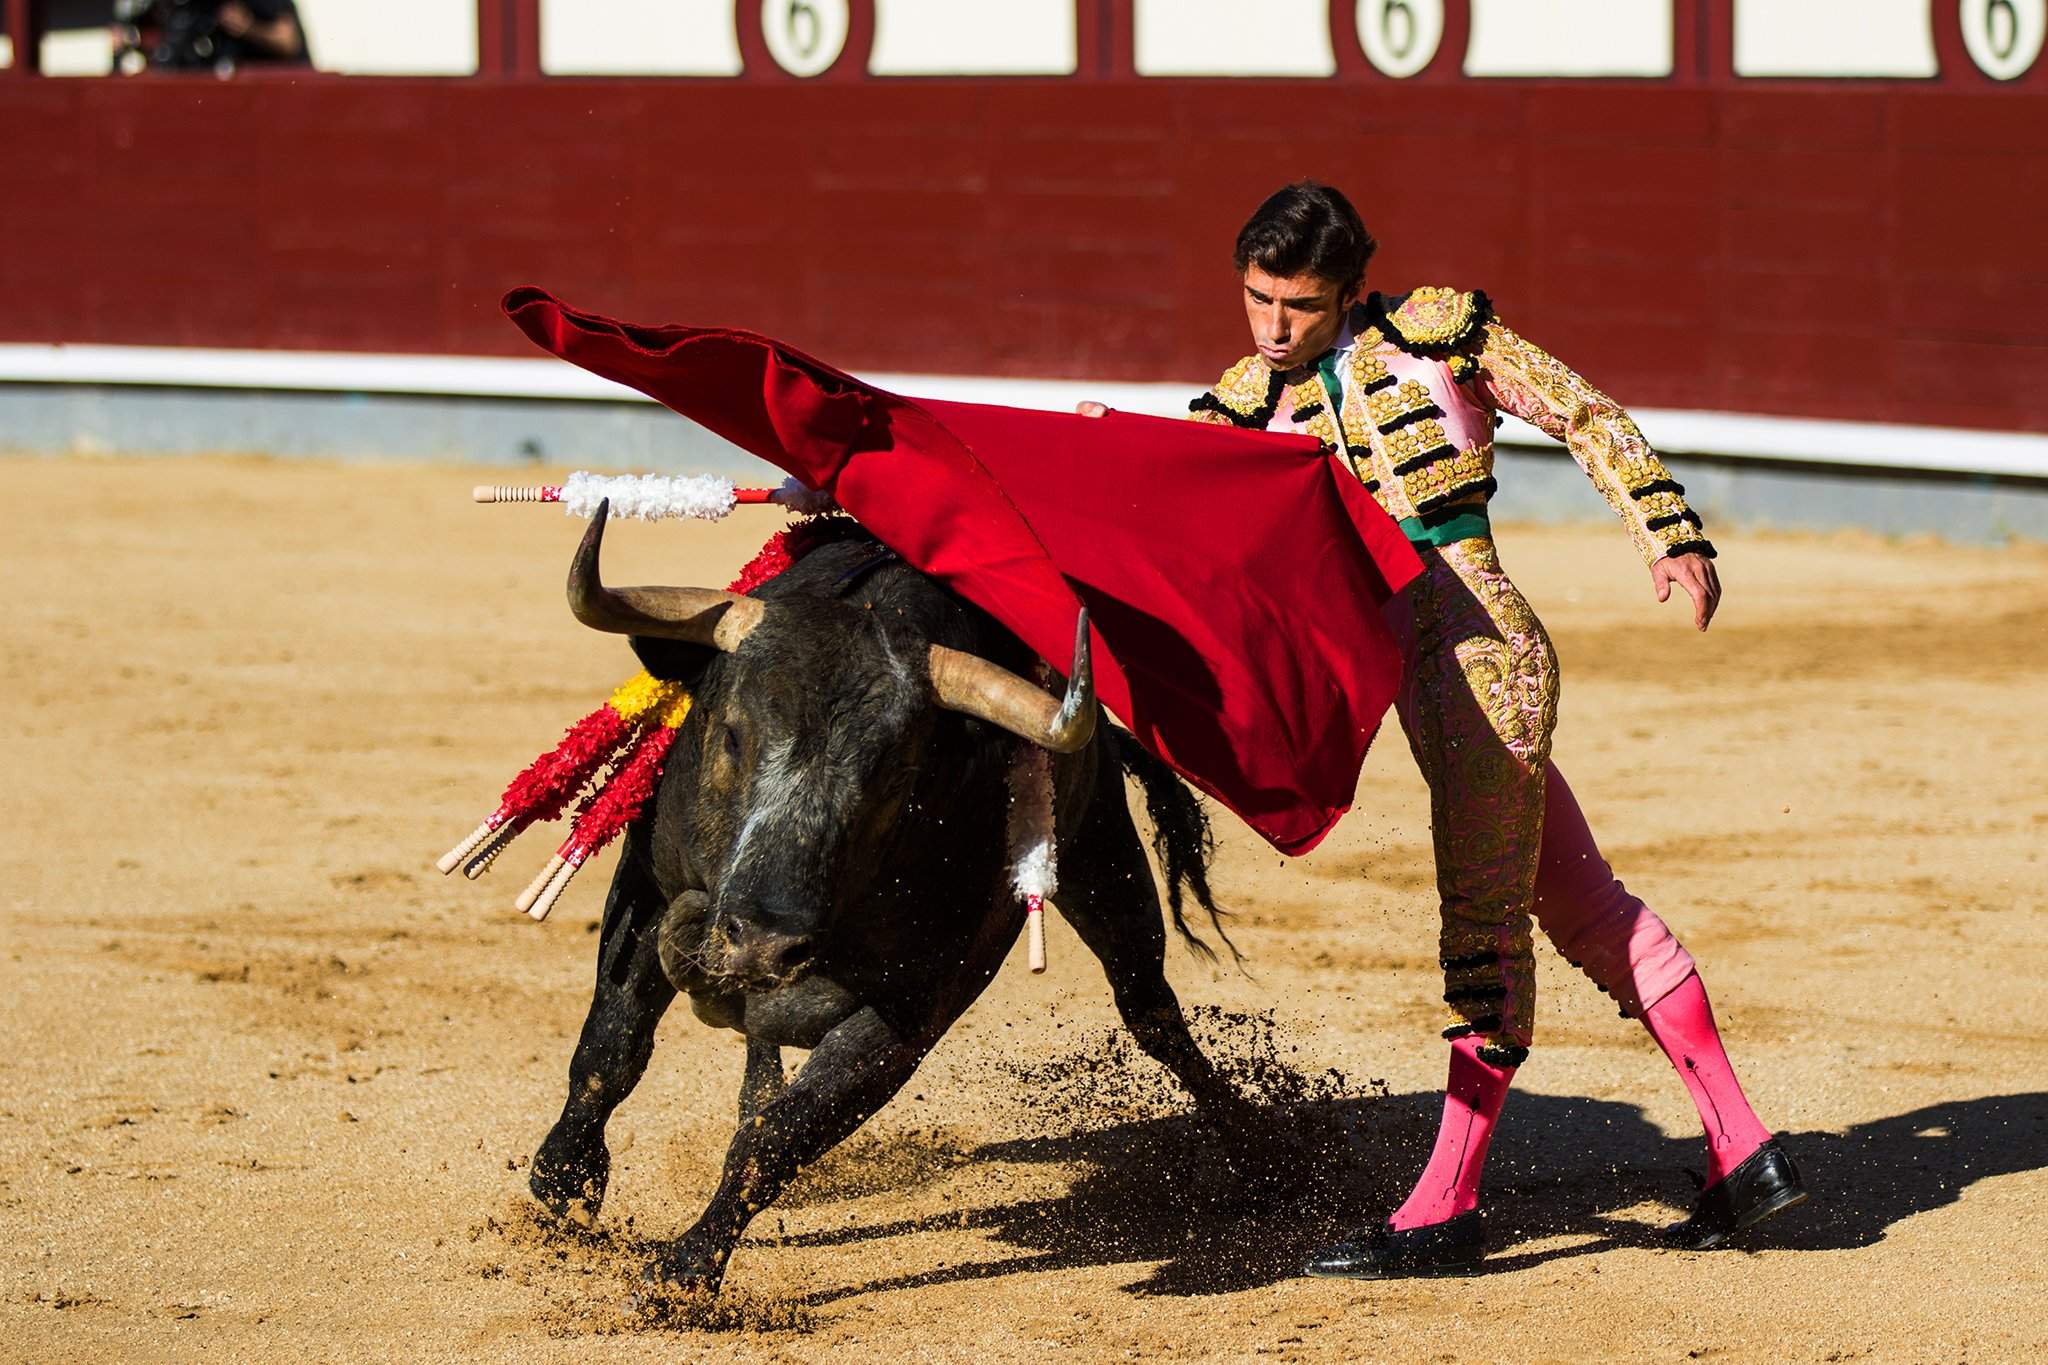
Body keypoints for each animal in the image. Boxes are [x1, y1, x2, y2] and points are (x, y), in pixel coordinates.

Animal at [536, 507, 1286, 1301]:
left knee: (1151, 1010)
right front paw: (564, 1183)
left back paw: (1262, 1160)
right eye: (733, 734)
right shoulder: (649, 884)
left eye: (894, 773)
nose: (763, 942)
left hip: (1104, 853)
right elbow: (611, 1046)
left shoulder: (917, 1005)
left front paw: (685, 1267)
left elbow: (787, 1130)